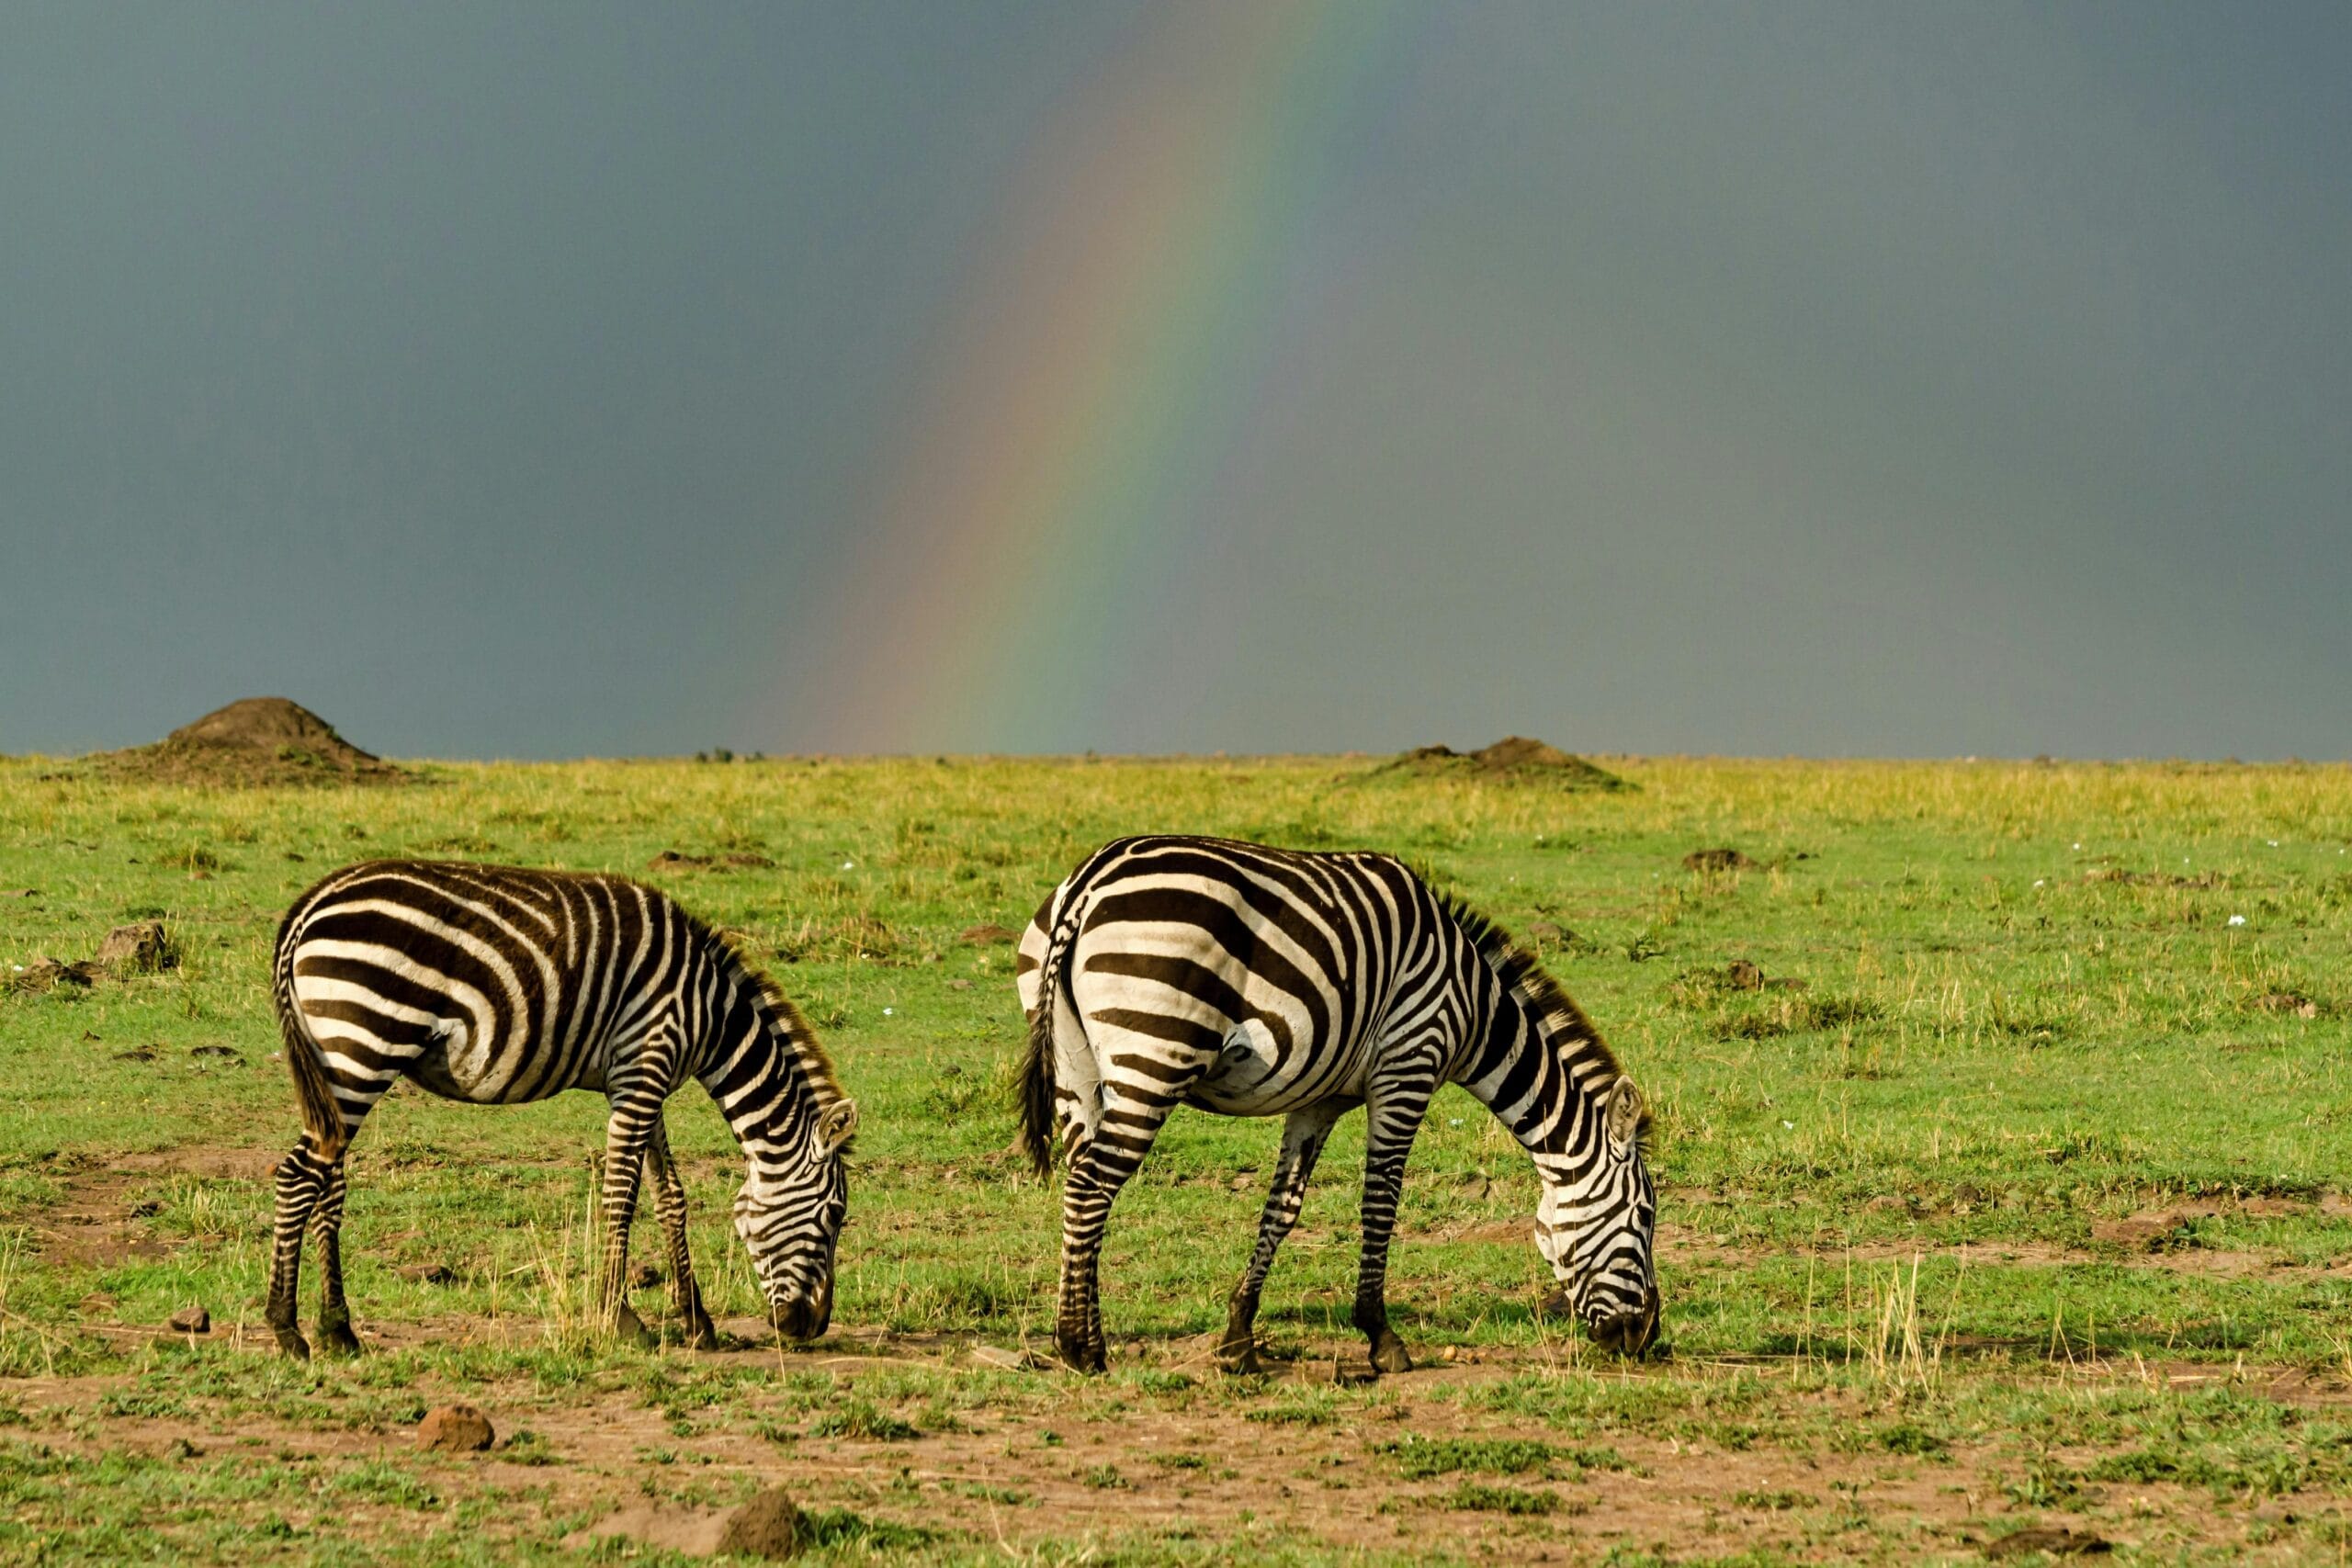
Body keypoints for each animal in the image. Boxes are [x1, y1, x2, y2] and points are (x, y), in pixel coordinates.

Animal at [269, 860, 855, 1363]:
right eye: (833, 1216)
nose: (812, 1327)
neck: (710, 1014)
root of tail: (308, 905)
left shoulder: (644, 1079)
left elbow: (670, 1197)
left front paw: (695, 1320)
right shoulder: (645, 1067)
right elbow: (622, 1196)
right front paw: (623, 1320)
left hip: (337, 1063)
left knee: (327, 1181)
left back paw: (337, 1329)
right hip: (365, 1042)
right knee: (298, 1176)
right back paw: (287, 1329)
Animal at [1011, 831, 1656, 1372]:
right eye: (1646, 1216)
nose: (1646, 1338)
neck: (1473, 1007)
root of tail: (1089, 883)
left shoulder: (1319, 1100)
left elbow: (1283, 1209)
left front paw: (1238, 1339)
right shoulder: (1407, 1068)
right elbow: (1380, 1203)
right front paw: (1381, 1337)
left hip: (1074, 1062)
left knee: (1081, 1183)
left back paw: (1083, 1333)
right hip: (1156, 1051)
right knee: (1093, 1183)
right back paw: (1080, 1347)